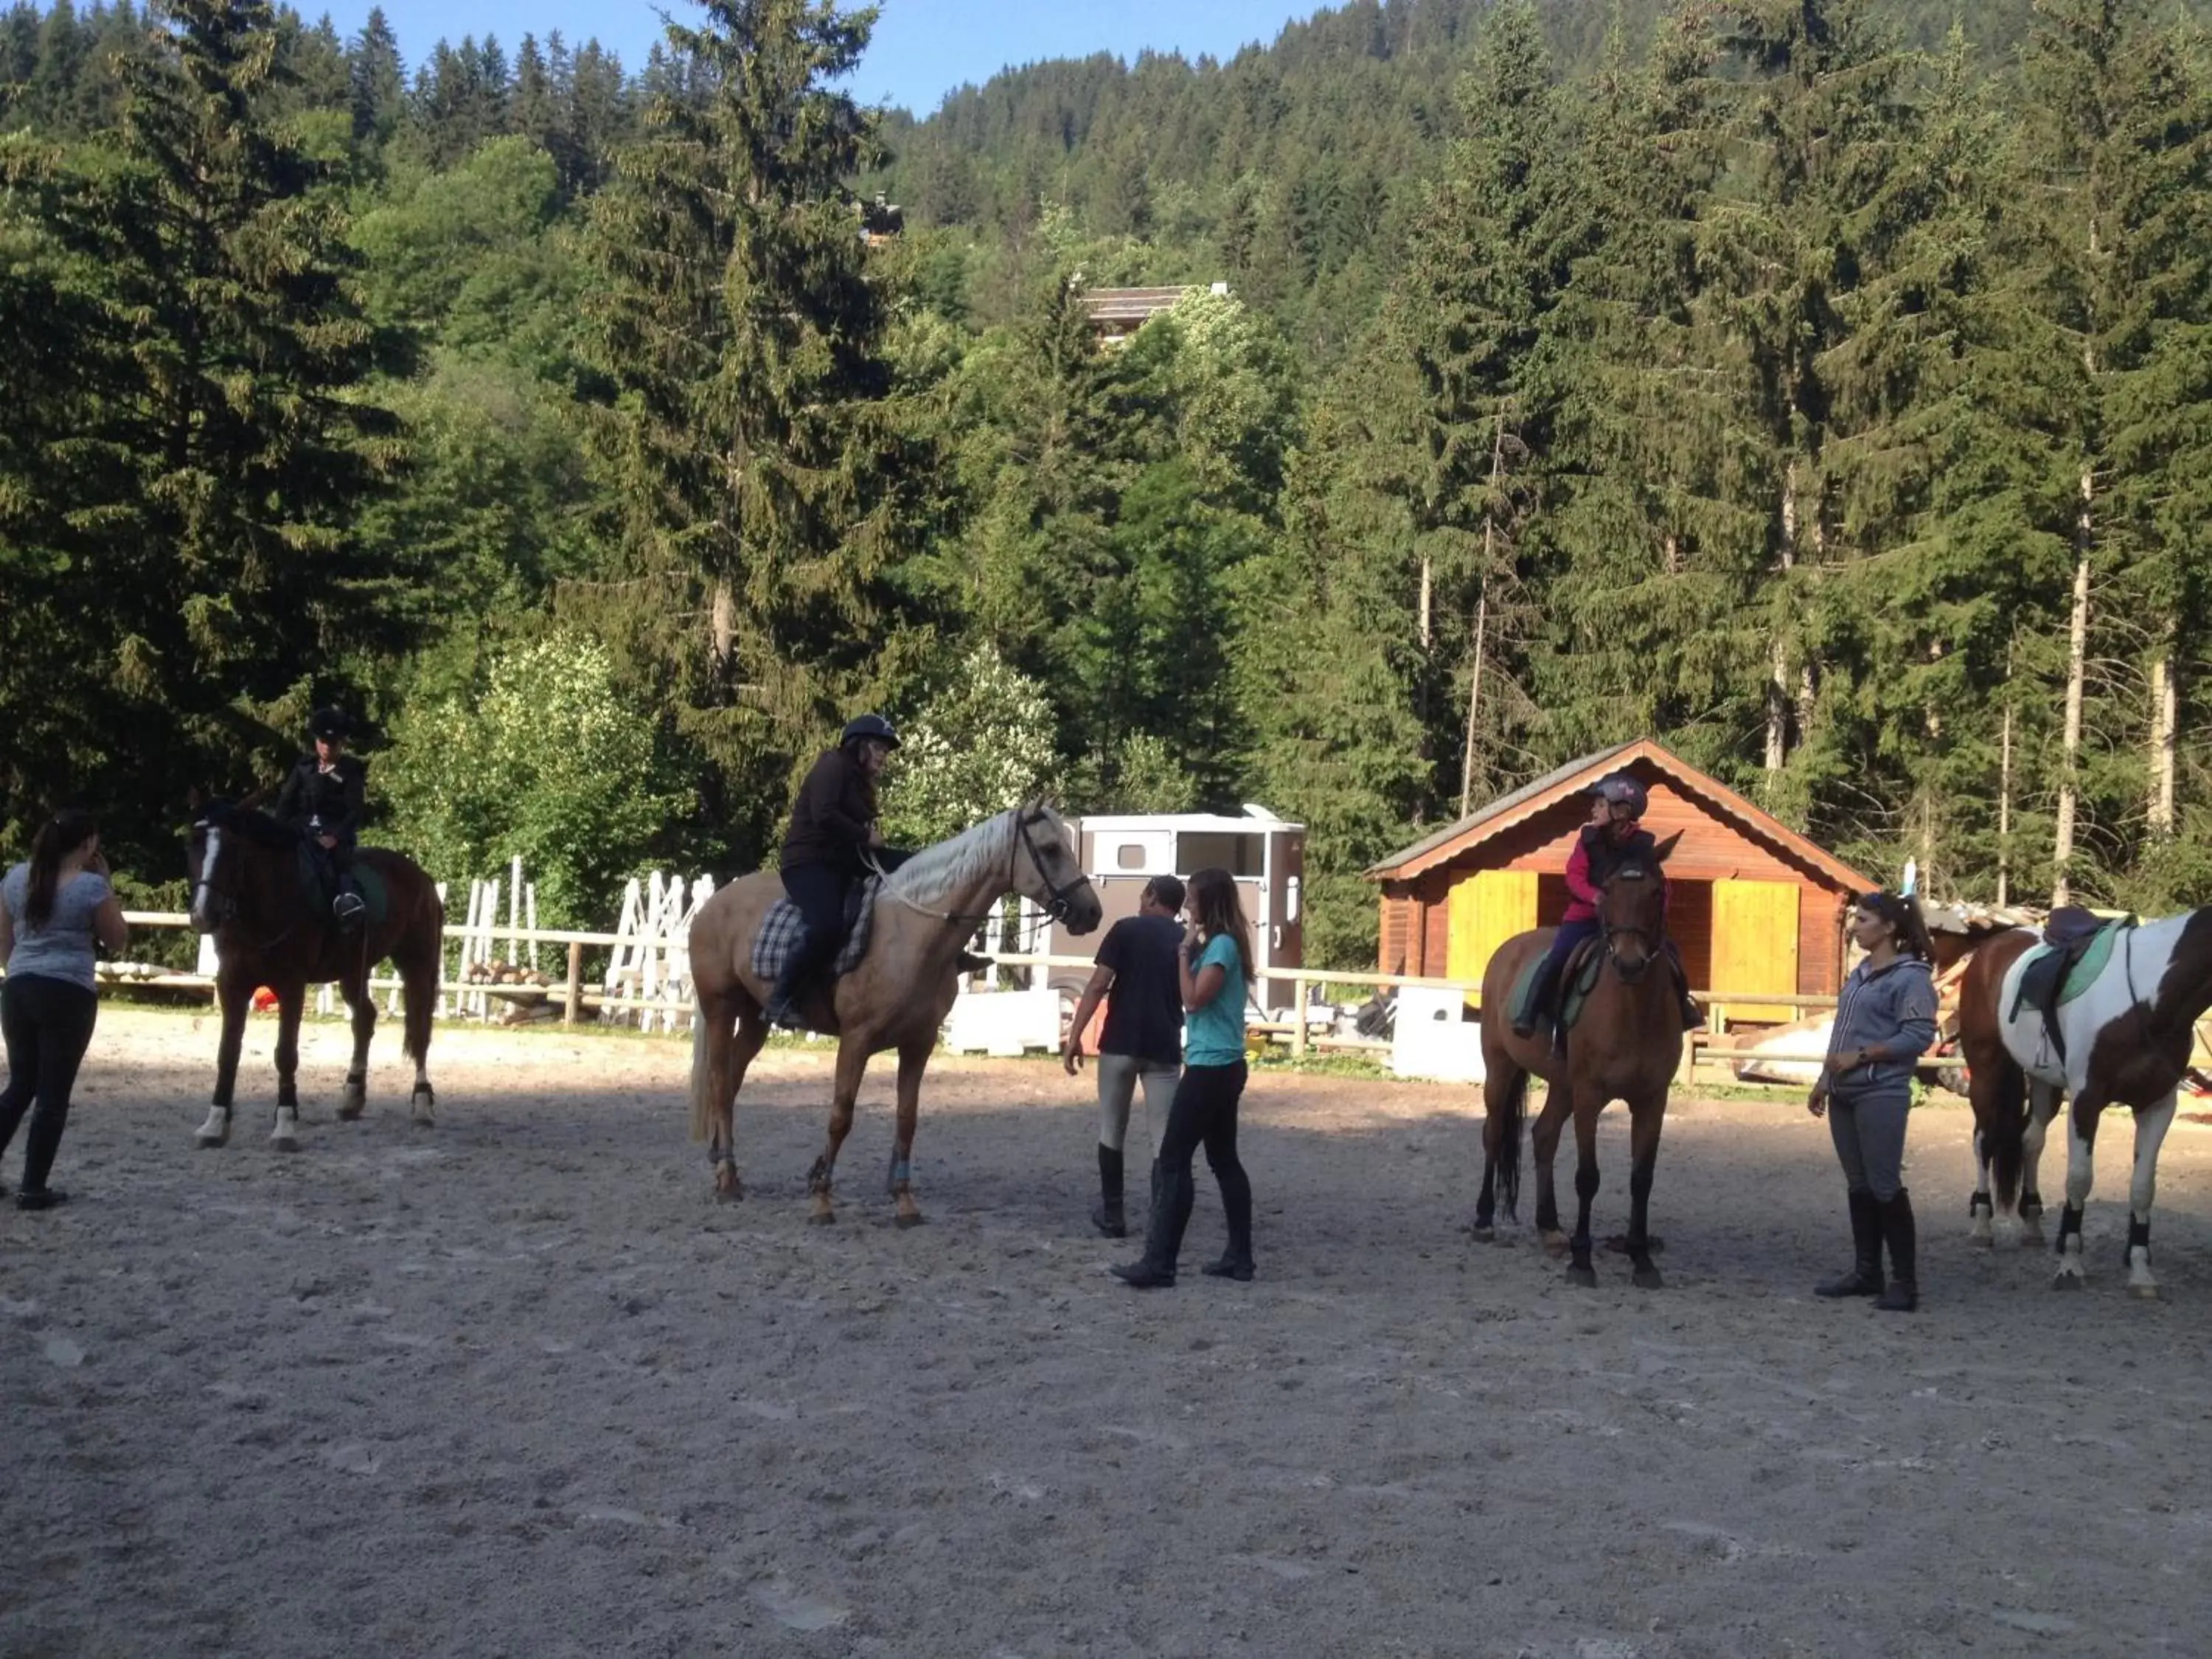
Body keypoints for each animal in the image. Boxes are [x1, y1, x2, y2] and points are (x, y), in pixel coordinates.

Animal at [186, 708, 445, 1150]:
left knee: (421, 1030)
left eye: (233, 850)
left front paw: (285, 1125)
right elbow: (227, 1053)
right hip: (353, 970)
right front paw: (215, 1123)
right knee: (365, 1019)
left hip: (417, 964)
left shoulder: (290, 985)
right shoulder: (232, 983)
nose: (205, 915)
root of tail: (422, 877)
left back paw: (424, 1106)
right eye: (194, 844)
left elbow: (285, 1054)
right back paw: (351, 1098)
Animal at [1469, 796, 1690, 1301]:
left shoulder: (1652, 1101)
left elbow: (1641, 1179)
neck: (1632, 1012)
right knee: (1493, 1133)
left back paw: (1550, 1229)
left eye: (1656, 892)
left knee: (1543, 1136)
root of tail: (1508, 949)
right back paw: (1485, 1219)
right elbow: (1588, 1178)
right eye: (1605, 890)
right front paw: (1583, 1261)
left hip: (1562, 1085)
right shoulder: (1590, 1097)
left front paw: (1641, 1259)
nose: (1628, 963)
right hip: (1501, 1068)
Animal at [1955, 902, 2212, 1310]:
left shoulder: (2157, 1105)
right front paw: (2071, 1265)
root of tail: (1991, 947)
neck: (2146, 997)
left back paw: (2032, 1225)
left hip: (2043, 1080)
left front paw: (2141, 1272)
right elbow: (2078, 1179)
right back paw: (1982, 1225)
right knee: (1985, 1140)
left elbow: (2143, 1187)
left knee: (2030, 1141)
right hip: (1986, 1070)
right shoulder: (2086, 1100)